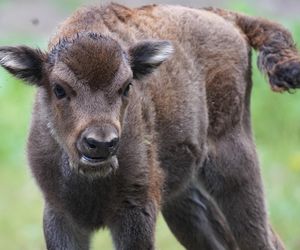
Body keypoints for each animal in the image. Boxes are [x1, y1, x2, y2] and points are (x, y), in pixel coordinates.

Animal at [0, 3, 300, 250]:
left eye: (126, 86)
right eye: (59, 89)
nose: (101, 143)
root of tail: (226, 18)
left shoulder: (136, 209)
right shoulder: (60, 214)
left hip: (234, 166)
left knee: (260, 239)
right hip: (185, 200)